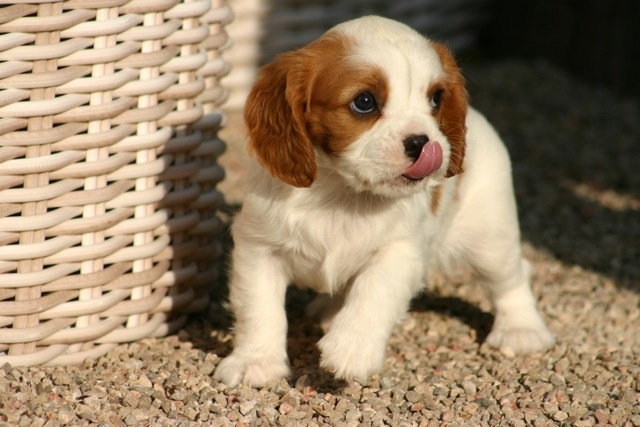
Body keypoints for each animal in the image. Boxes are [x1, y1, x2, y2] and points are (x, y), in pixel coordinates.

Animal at [212, 15, 552, 388]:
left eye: (436, 99)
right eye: (364, 101)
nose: (424, 143)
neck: (342, 193)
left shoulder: (399, 252)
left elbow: (372, 293)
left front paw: (351, 350)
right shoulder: (259, 249)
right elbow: (260, 309)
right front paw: (255, 362)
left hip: (491, 236)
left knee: (511, 278)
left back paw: (522, 330)